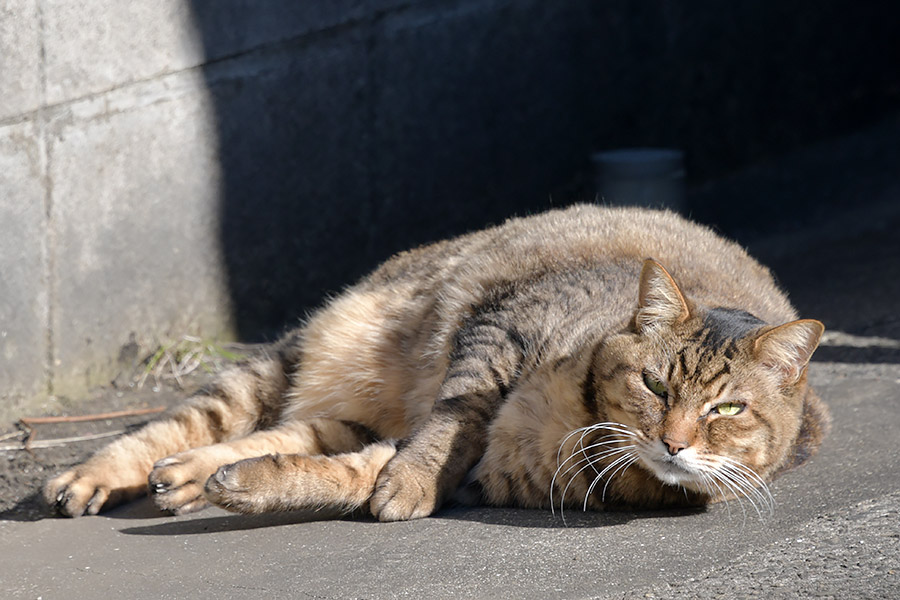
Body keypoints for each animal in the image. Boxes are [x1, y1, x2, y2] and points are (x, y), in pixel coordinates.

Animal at [42, 205, 828, 520]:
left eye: (728, 409)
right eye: (655, 384)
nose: (674, 442)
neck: (580, 424)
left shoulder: (491, 473)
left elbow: (357, 473)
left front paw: (259, 487)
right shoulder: (496, 332)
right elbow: (452, 421)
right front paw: (412, 482)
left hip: (342, 412)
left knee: (287, 435)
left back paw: (188, 478)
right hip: (285, 362)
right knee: (187, 420)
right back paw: (92, 476)